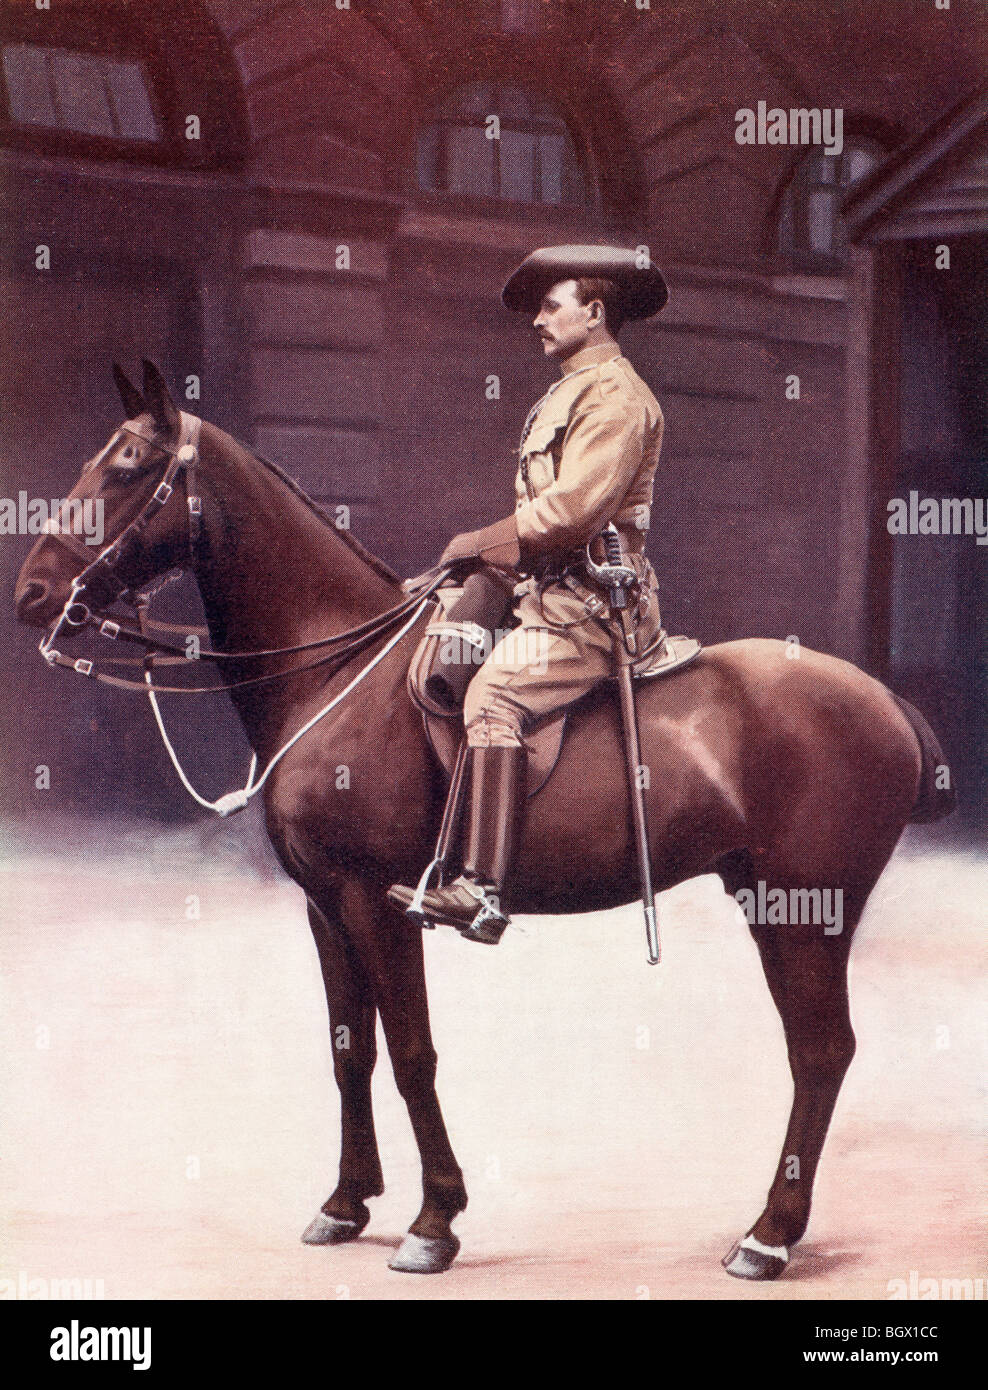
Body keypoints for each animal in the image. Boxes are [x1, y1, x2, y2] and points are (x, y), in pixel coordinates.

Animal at [15, 364, 956, 1273]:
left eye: (127, 467)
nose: (33, 592)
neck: (335, 668)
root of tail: (885, 700)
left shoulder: (373, 902)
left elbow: (411, 1054)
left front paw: (435, 1220)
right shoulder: (324, 907)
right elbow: (349, 1051)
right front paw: (346, 1203)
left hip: (805, 916)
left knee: (821, 1053)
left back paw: (769, 1235)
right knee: (818, 1053)